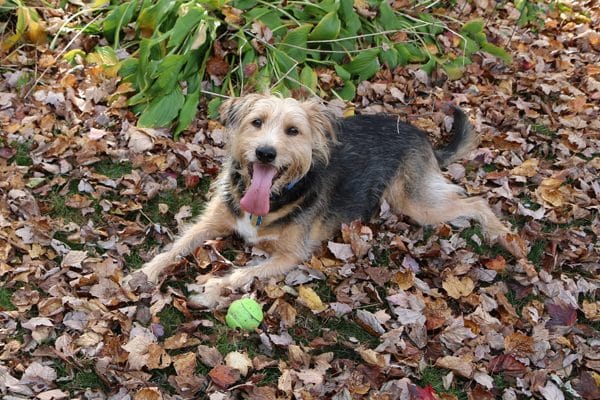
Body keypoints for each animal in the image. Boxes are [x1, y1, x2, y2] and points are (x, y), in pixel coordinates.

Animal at [129, 95, 516, 308]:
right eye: (256, 122)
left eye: (293, 131)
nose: (265, 153)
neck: (273, 198)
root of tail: (422, 135)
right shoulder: (212, 221)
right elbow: (177, 246)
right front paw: (143, 273)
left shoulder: (290, 255)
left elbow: (243, 273)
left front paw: (210, 289)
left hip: (415, 203)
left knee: (476, 201)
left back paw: (503, 235)